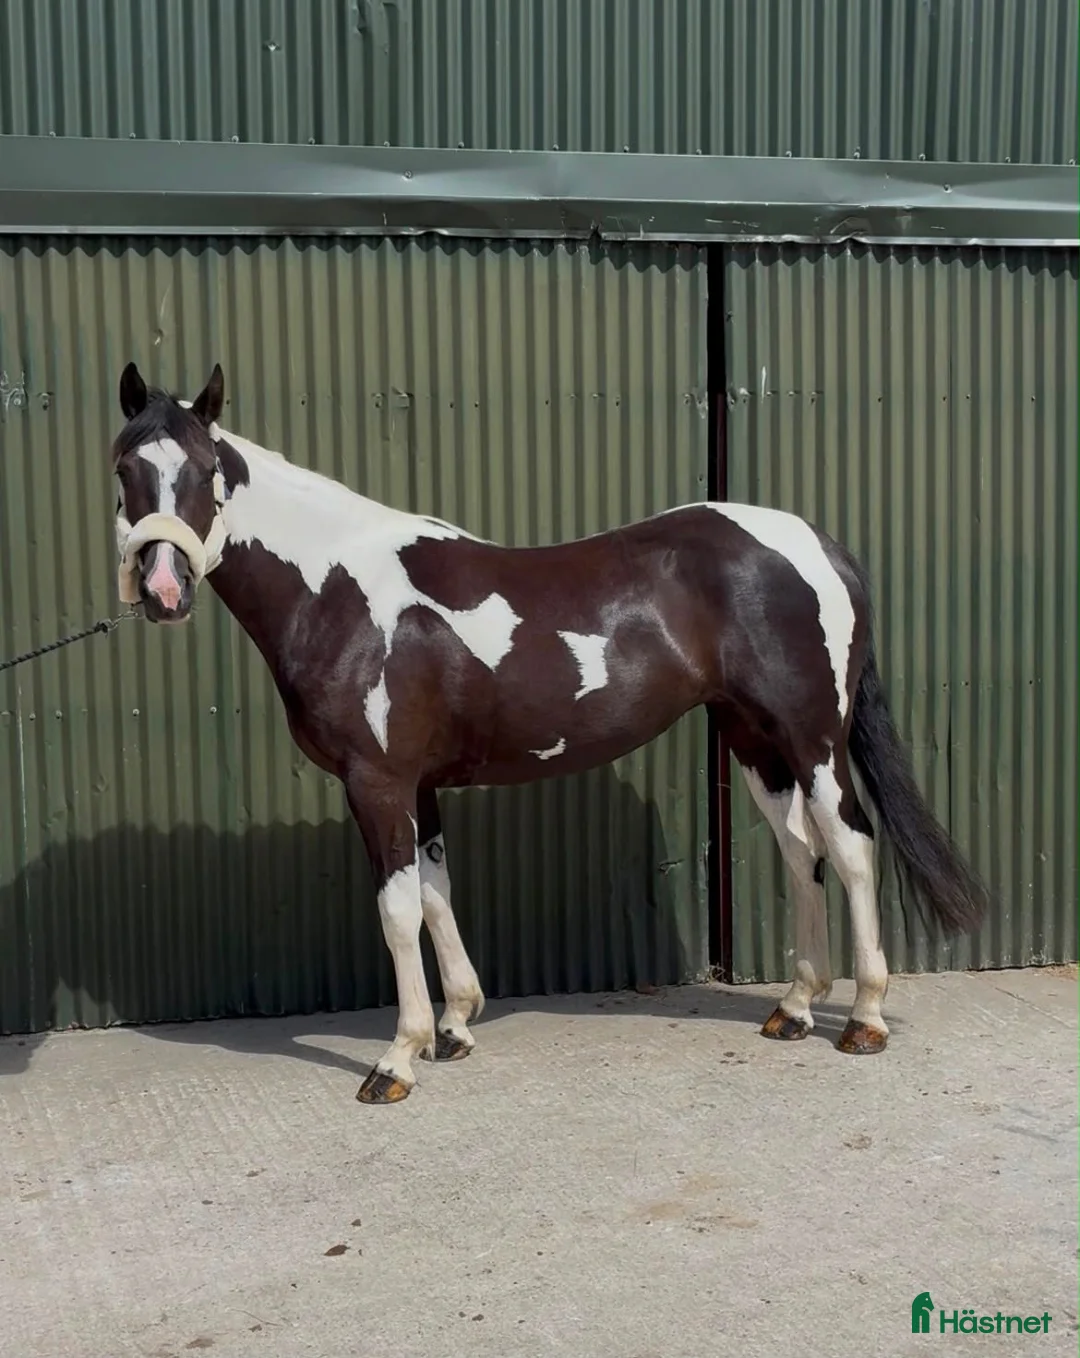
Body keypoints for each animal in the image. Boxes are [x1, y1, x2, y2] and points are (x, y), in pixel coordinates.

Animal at [110, 361, 988, 1104]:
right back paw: (797, 1006)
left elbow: (398, 913)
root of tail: (818, 545)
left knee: (851, 846)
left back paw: (865, 1018)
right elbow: (438, 896)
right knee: (801, 851)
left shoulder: (378, 782)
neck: (337, 590)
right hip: (755, 740)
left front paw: (399, 1057)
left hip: (813, 740)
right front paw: (456, 1026)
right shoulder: (422, 787)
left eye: (204, 471)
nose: (162, 589)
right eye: (124, 469)